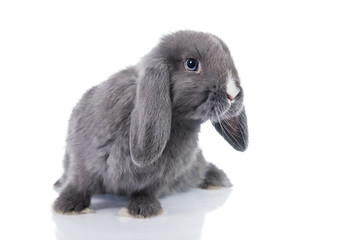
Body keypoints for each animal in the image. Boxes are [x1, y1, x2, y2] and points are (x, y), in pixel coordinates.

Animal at [53, 30, 249, 218]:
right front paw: (68, 206)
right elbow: (79, 185)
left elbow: (145, 192)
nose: (233, 93)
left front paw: (144, 210)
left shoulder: (159, 178)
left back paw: (218, 180)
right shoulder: (83, 163)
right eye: (191, 64)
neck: (178, 121)